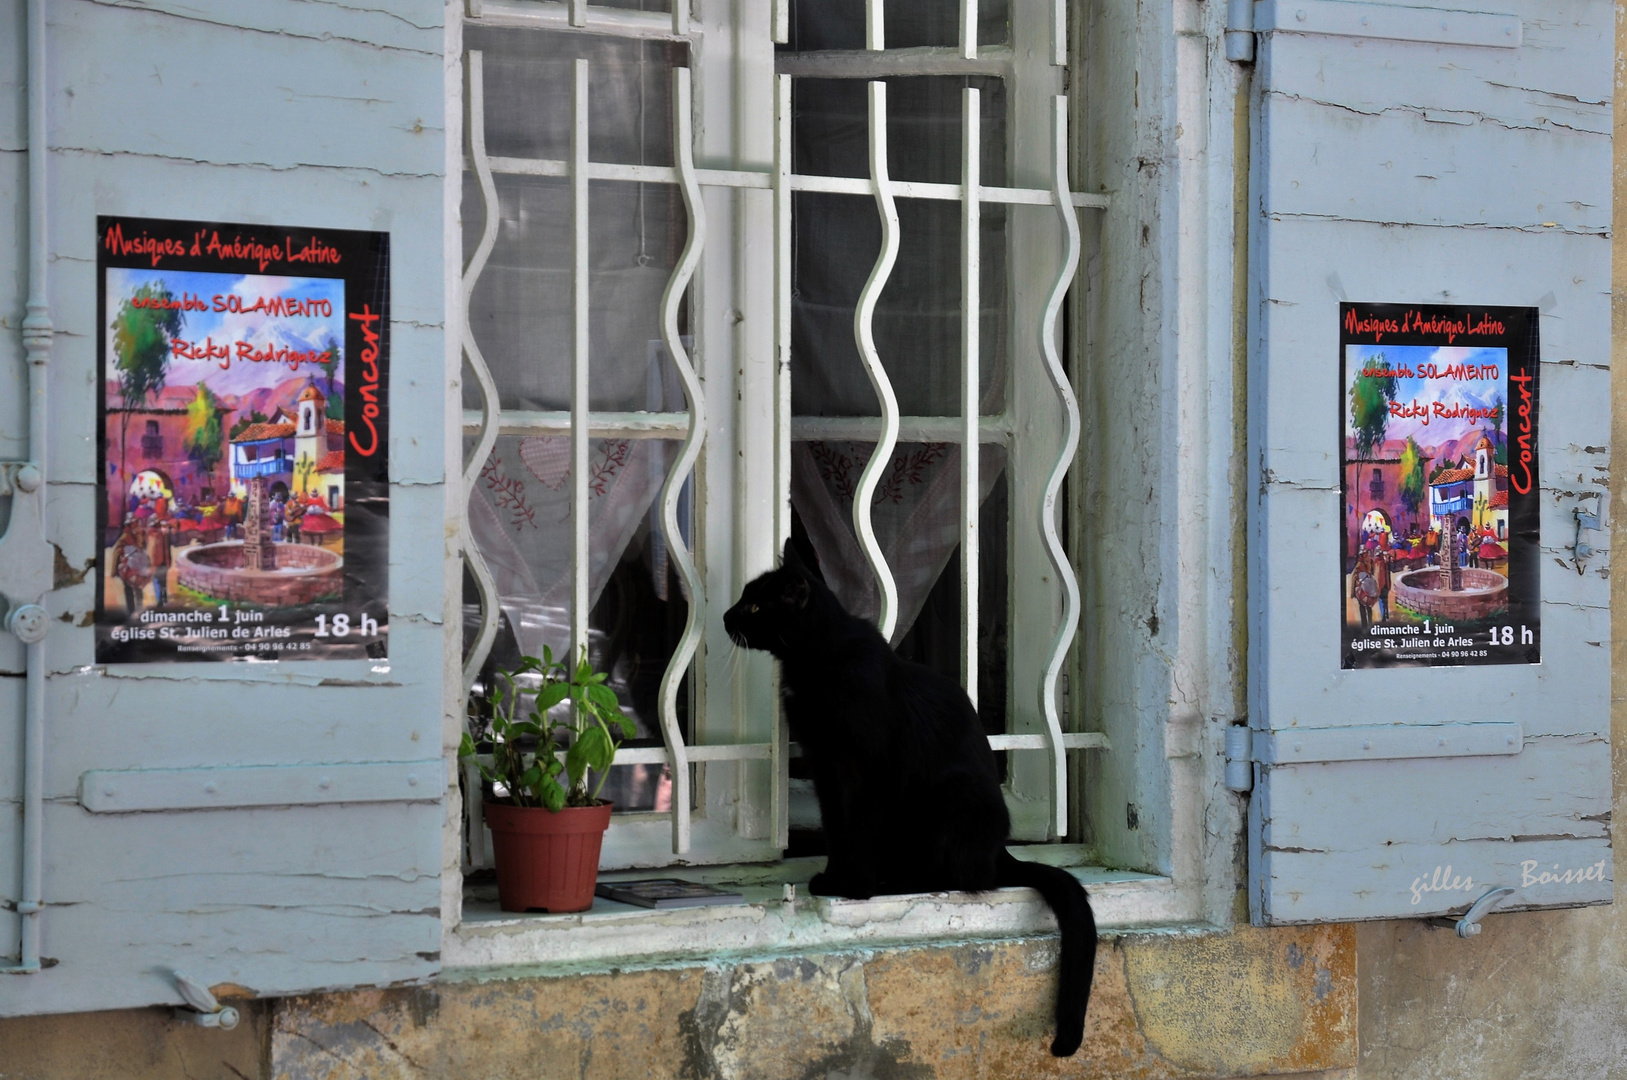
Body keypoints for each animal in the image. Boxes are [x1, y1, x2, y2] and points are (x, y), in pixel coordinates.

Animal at [728, 540, 1099, 1053]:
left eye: (755, 606)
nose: (726, 615)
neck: (815, 660)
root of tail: (1001, 852)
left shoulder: (869, 768)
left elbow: (859, 828)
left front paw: (855, 885)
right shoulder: (825, 767)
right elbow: (836, 826)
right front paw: (834, 877)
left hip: (952, 797)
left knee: (964, 877)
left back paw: (893, 881)